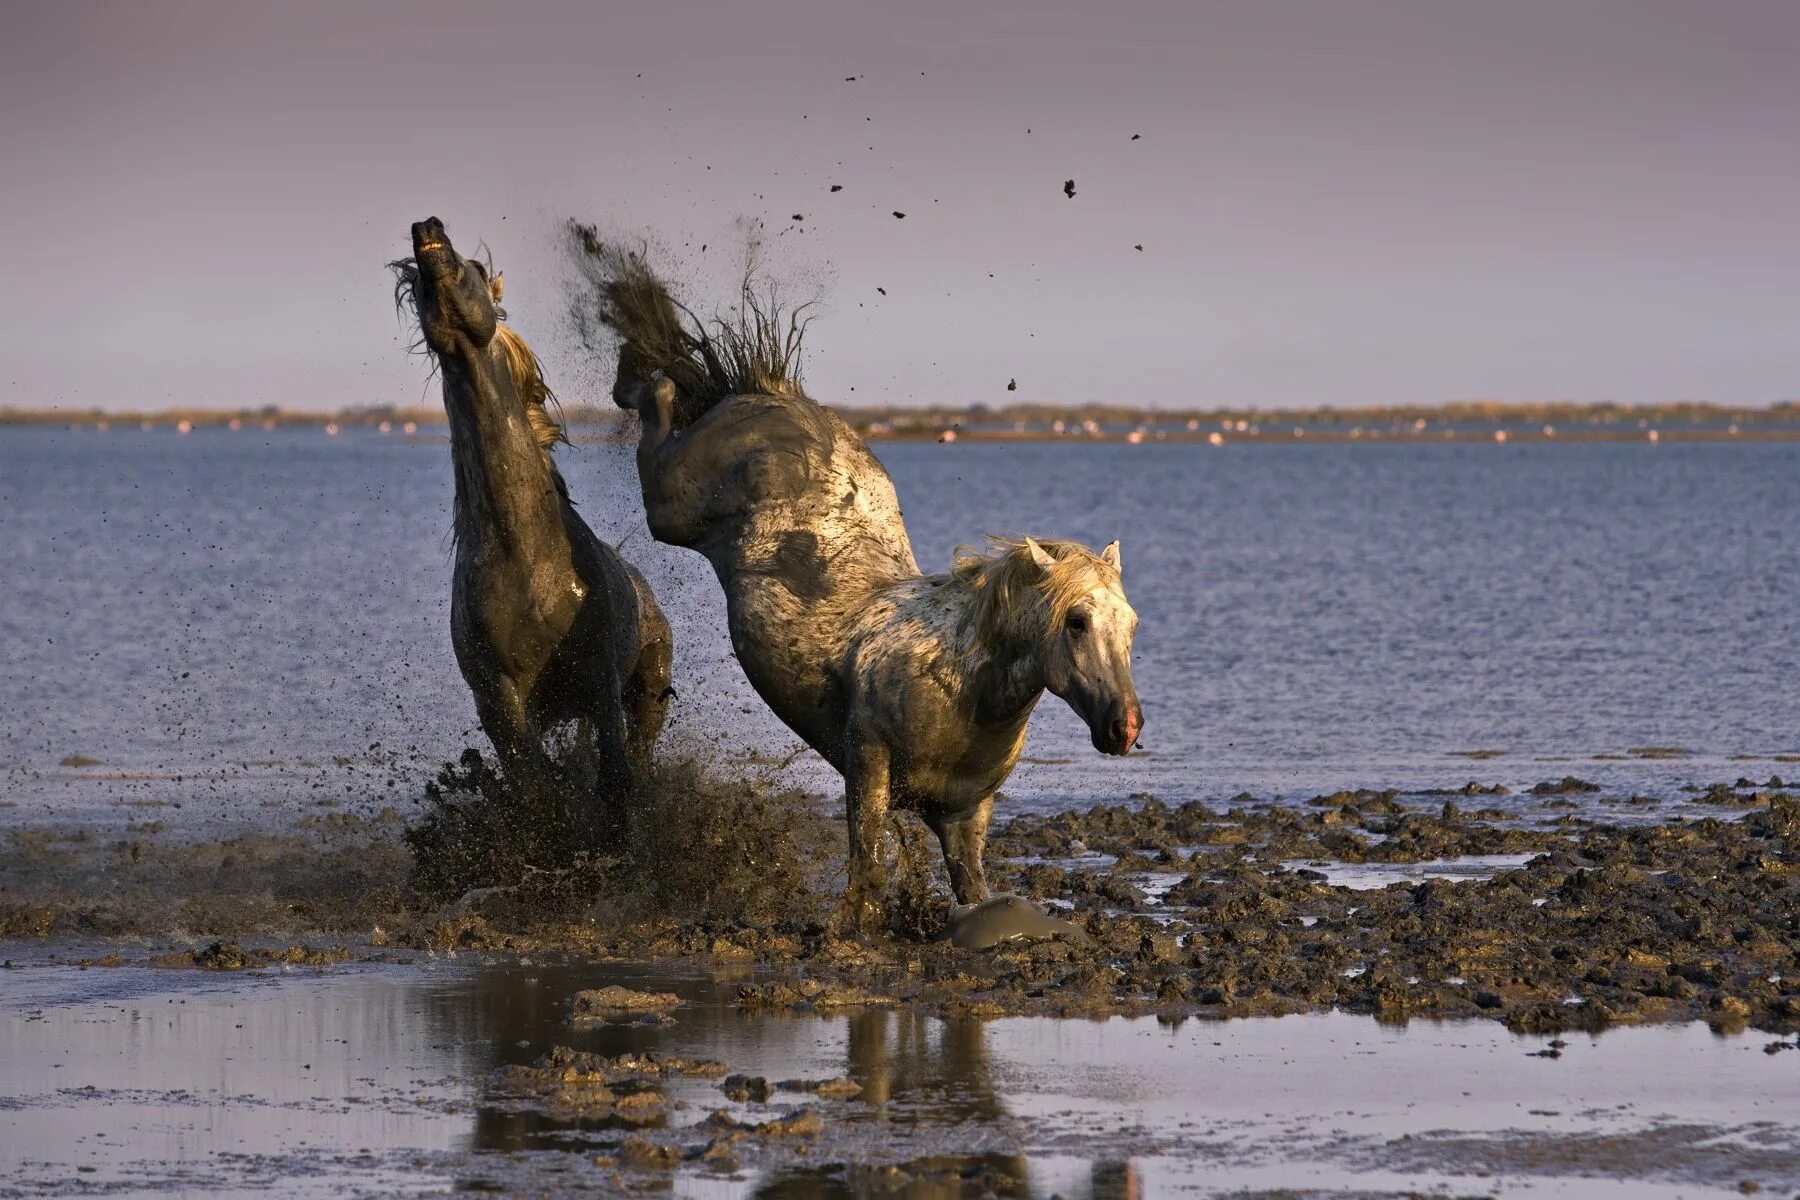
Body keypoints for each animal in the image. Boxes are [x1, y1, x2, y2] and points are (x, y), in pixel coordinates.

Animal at [394, 218, 676, 816]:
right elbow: (535, 792)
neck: (526, 557)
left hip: (648, 690)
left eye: (477, 269)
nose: (428, 232)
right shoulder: (501, 702)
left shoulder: (599, 682)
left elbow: (615, 784)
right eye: (419, 288)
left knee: (640, 762)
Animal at [576, 233, 1137, 928]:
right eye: (1077, 621)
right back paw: (645, 383)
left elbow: (973, 889)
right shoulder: (866, 759)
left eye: (1132, 626)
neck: (960, 682)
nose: (1125, 728)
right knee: (656, 421)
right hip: (671, 506)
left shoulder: (963, 815)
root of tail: (763, 395)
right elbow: (867, 863)